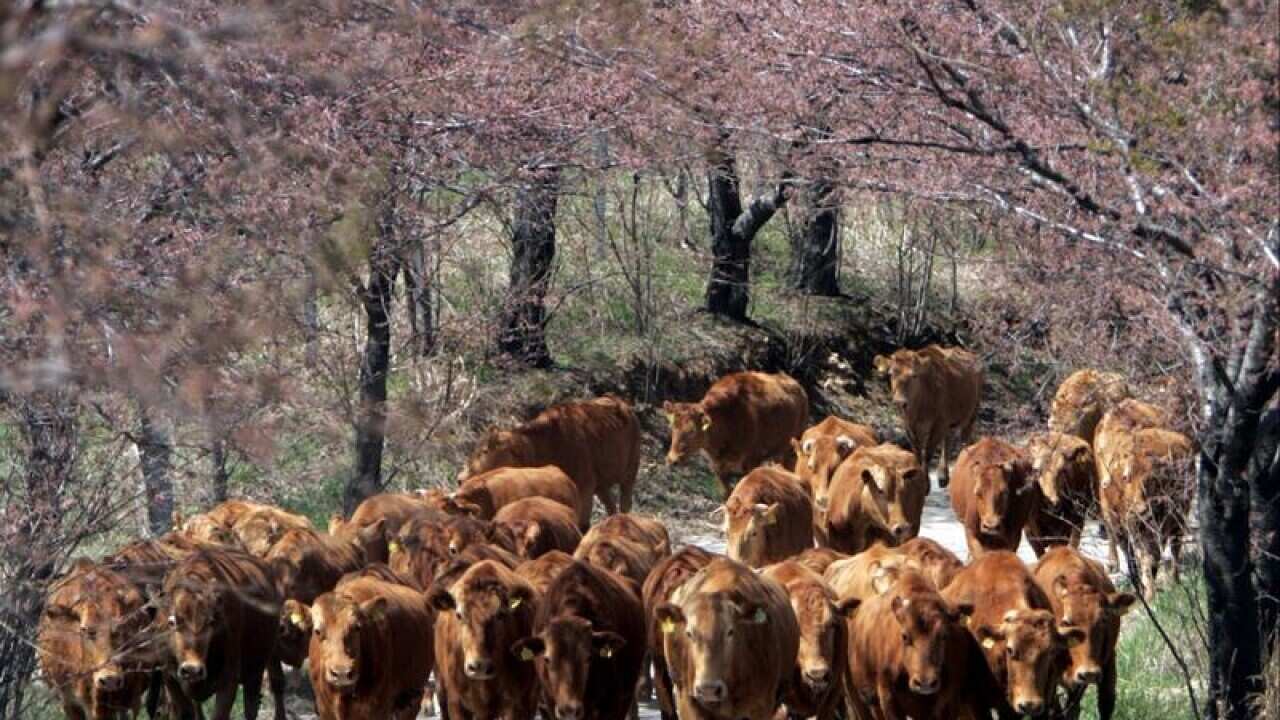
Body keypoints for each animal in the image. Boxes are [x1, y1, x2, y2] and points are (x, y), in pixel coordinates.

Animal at [161, 548, 287, 720]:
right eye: (171, 622)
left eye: (211, 621)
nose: (192, 669)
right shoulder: (170, 680)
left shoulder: (228, 680)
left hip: (263, 661)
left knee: (270, 689)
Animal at [307, 577, 434, 720]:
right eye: (317, 631)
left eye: (357, 627)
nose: (341, 673)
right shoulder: (325, 709)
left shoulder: (378, 710)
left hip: (413, 699)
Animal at [664, 371, 809, 498]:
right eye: (672, 427)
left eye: (692, 431)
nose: (673, 459)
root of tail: (797, 385)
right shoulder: (718, 467)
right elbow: (727, 493)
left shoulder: (750, 462)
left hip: (790, 450)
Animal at [873, 345, 982, 487]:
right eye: (891, 374)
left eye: (914, 375)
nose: (899, 402)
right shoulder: (909, 425)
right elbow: (917, 452)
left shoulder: (939, 423)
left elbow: (928, 452)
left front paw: (925, 483)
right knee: (948, 440)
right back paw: (943, 476)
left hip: (971, 414)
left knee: (964, 440)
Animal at [1097, 426, 1194, 599]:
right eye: (1126, 477)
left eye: (1151, 479)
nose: (1140, 510)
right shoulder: (1128, 526)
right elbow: (1139, 557)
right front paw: (1145, 590)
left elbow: (1151, 556)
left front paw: (1150, 593)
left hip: (1178, 520)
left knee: (1175, 548)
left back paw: (1174, 581)